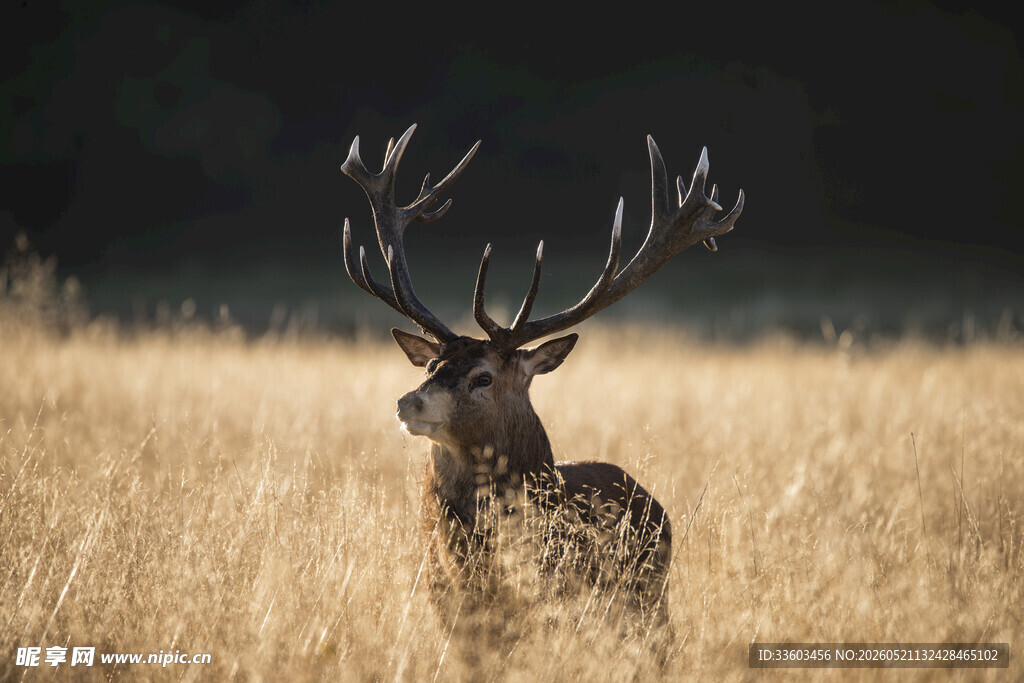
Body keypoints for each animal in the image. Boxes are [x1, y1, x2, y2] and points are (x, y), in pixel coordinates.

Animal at [339, 124, 743, 630]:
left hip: (651, 598)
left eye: (484, 378)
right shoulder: (446, 613)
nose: (407, 403)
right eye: (432, 367)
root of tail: (653, 502)